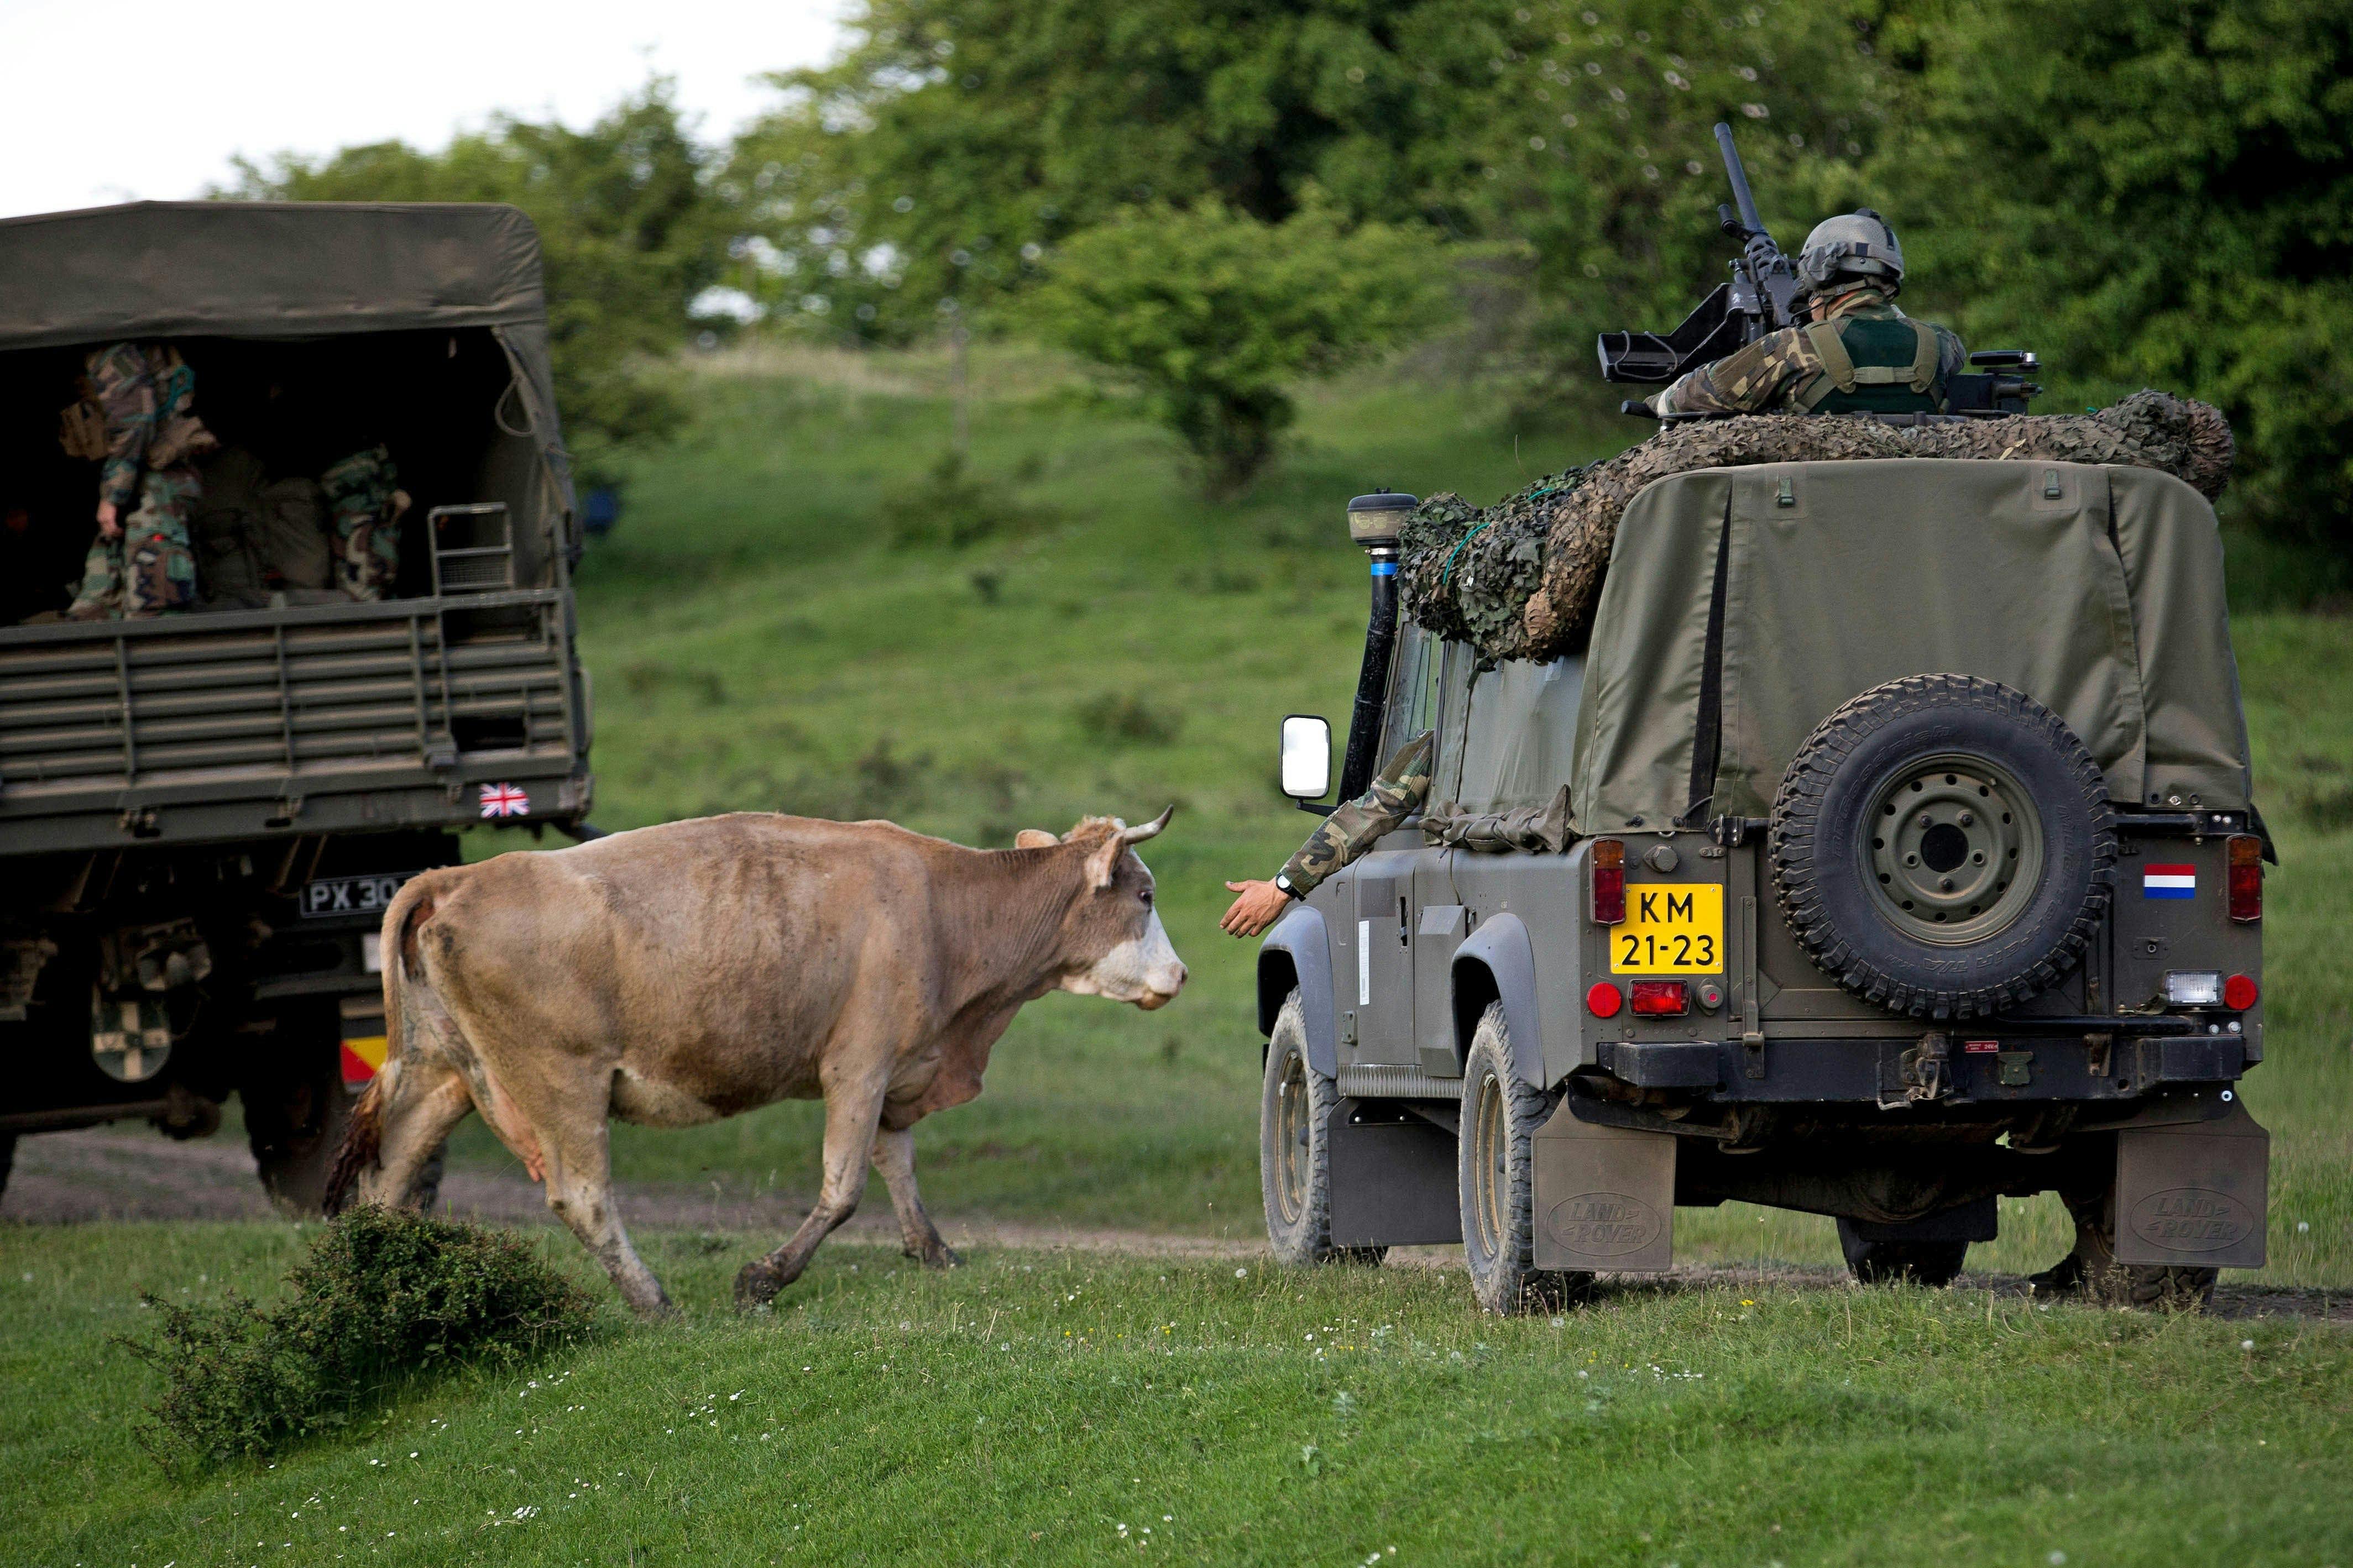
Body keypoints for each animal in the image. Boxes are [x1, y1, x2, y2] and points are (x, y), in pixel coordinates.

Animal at [322, 809, 1186, 1316]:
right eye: (1144, 895)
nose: (1180, 975)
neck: (949, 910)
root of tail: (461, 877)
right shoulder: (858, 1064)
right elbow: (845, 1185)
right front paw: (765, 1277)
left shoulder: (897, 1064)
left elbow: (897, 1165)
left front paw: (933, 1250)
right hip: (560, 1082)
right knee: (582, 1197)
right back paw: (655, 1302)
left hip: (440, 1072)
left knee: (388, 1177)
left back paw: (368, 1294)